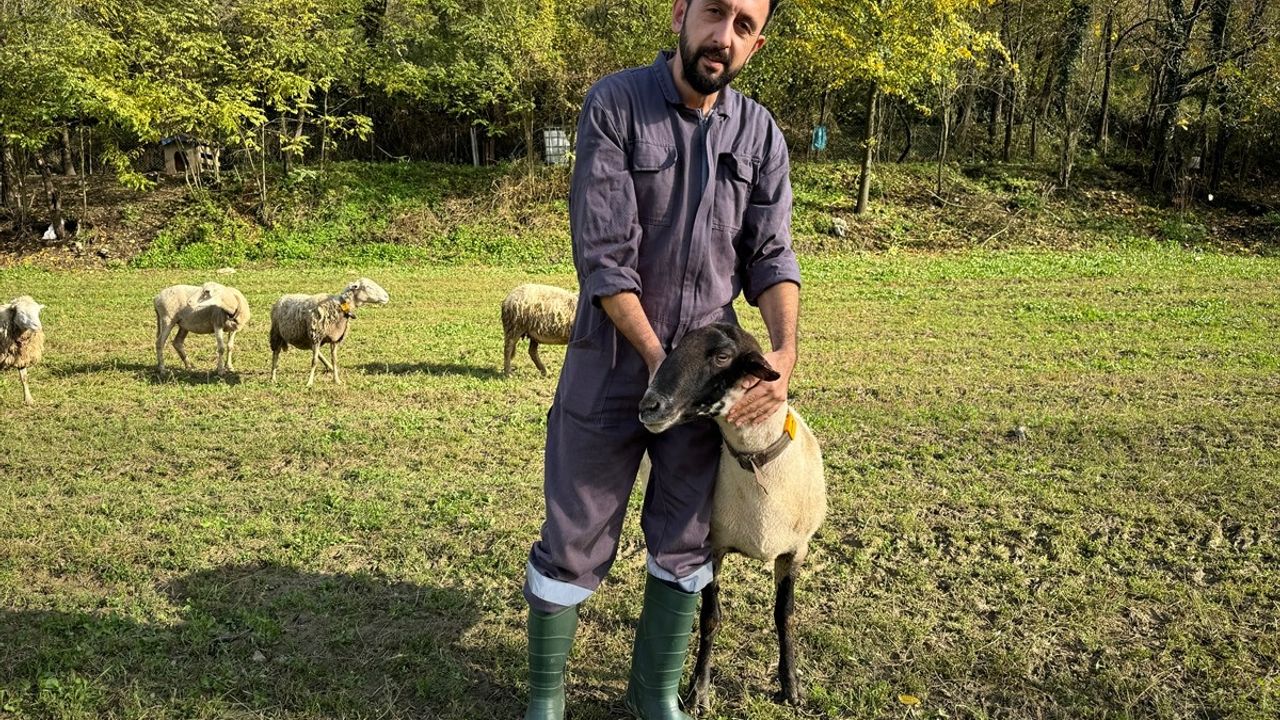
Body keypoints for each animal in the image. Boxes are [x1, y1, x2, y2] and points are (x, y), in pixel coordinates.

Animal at [640, 322, 829, 707]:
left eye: (723, 357)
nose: (648, 405)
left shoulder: (795, 551)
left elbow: (785, 616)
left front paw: (791, 687)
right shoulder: (713, 547)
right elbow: (711, 618)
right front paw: (698, 691)